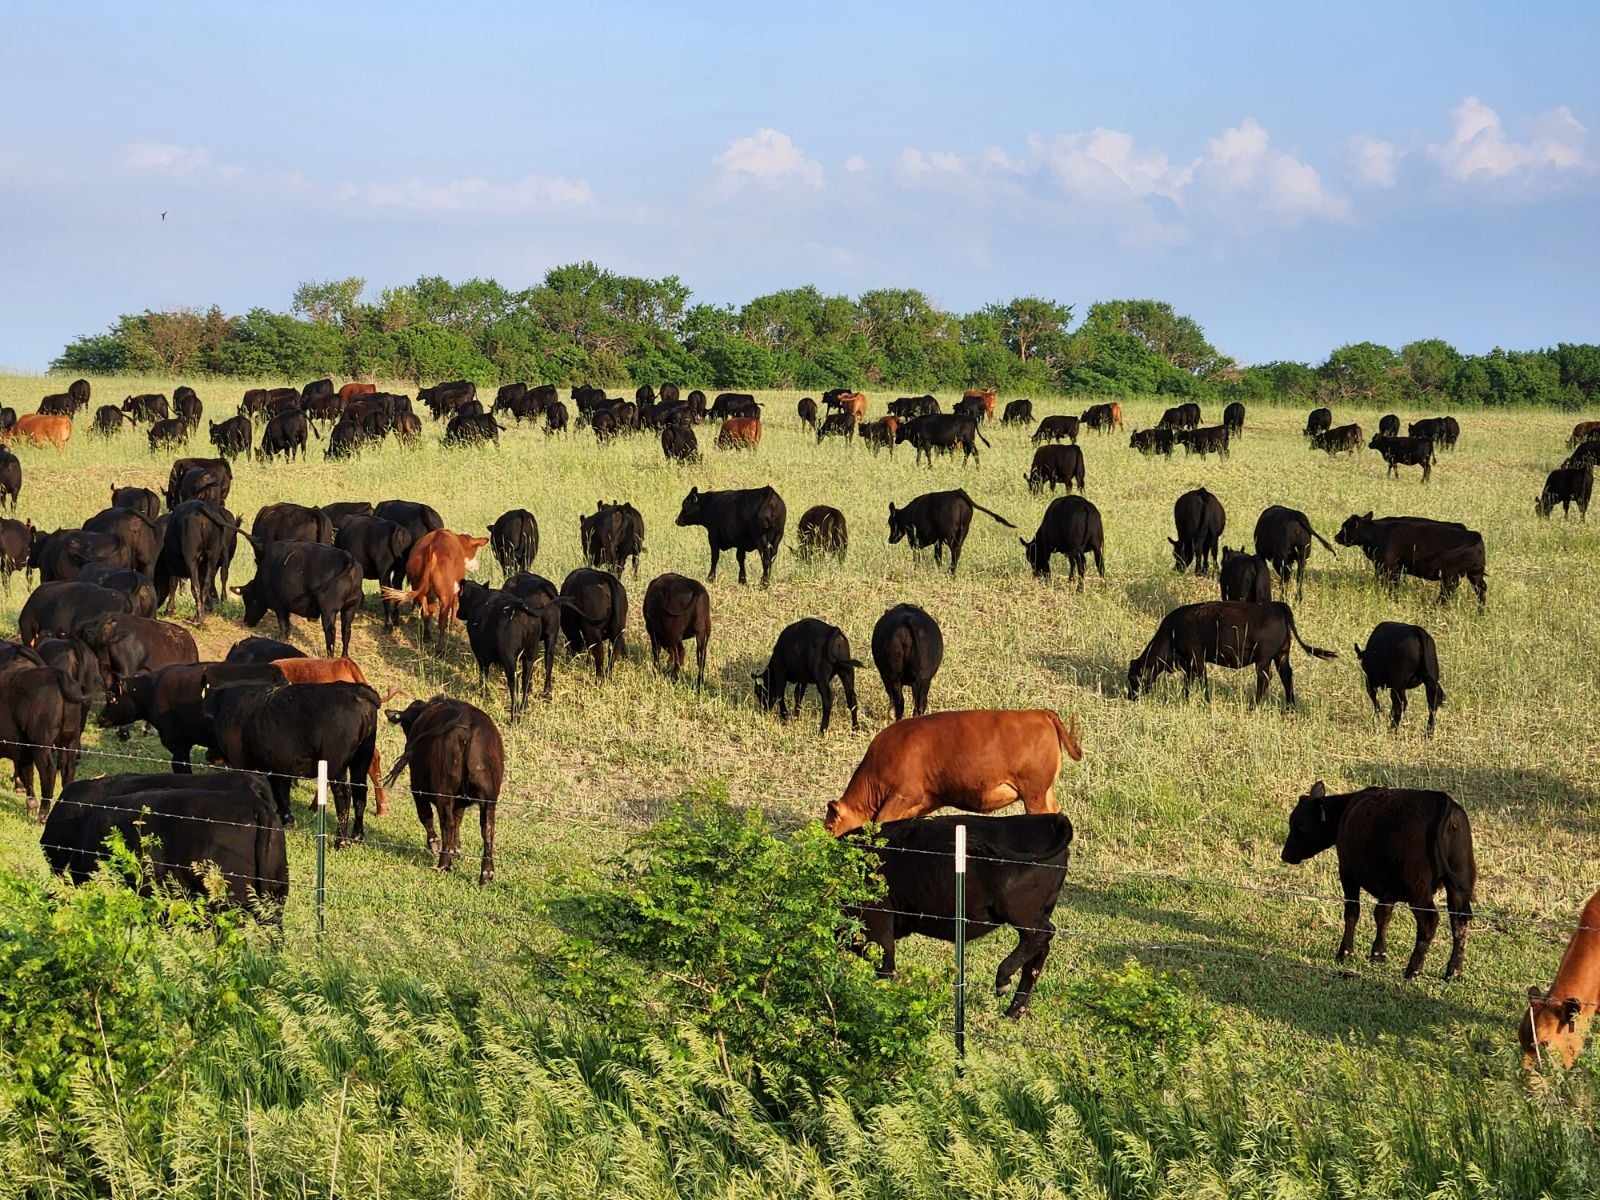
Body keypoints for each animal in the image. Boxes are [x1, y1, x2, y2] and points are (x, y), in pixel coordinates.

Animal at [203, 679, 378, 842]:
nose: (208, 756)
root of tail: (358, 691)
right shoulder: (279, 768)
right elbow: (281, 794)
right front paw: (286, 821)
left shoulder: (244, 765)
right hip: (361, 761)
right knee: (360, 793)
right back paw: (357, 836)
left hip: (336, 767)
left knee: (343, 795)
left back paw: (340, 841)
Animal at [383, 696, 503, 884]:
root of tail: (468, 727)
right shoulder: (460, 801)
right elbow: (459, 820)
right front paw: (456, 849)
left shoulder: (417, 787)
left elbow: (426, 816)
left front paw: (434, 844)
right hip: (489, 797)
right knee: (487, 829)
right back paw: (486, 873)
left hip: (443, 791)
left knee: (446, 822)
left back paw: (443, 863)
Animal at [857, 813, 1072, 1018]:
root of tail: (1052, 819)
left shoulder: (876, 925)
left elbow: (885, 968)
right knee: (1038, 953)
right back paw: (1013, 1012)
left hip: (1020, 913)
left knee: (1042, 935)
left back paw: (1002, 981)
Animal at [1128, 600, 1337, 705]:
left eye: (1134, 678)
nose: (1130, 697)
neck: (1172, 632)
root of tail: (1278, 606)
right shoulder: (1189, 663)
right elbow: (1189, 682)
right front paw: (1186, 700)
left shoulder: (1197, 659)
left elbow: (1202, 681)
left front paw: (1206, 702)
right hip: (1281, 655)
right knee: (1286, 677)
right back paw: (1290, 707)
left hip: (1263, 659)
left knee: (1264, 679)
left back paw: (1254, 706)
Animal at [1280, 781, 1474, 980]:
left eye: (1300, 826)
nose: (1285, 855)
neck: (1346, 811)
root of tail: (1444, 802)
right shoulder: (1388, 888)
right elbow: (1383, 915)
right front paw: (1378, 954)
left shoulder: (1348, 874)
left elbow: (1352, 912)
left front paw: (1345, 952)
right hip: (1459, 885)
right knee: (1460, 922)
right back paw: (1453, 971)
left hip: (1418, 889)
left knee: (1429, 921)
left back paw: (1413, 969)